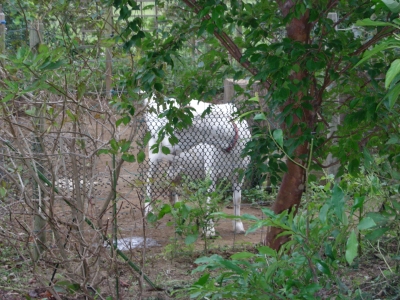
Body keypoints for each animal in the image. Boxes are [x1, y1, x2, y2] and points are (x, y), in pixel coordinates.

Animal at [144, 99, 250, 236]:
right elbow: (210, 197)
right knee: (149, 178)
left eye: (179, 131)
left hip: (178, 163)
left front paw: (238, 226)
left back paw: (176, 207)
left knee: (171, 177)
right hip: (154, 155)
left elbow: (237, 199)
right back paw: (148, 210)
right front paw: (209, 230)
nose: (167, 146)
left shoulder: (240, 173)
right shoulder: (211, 170)